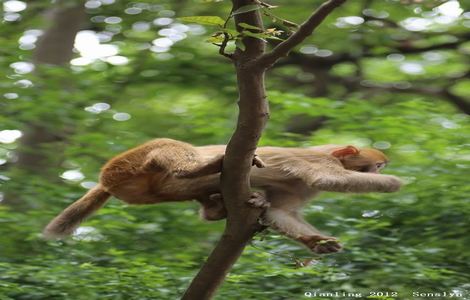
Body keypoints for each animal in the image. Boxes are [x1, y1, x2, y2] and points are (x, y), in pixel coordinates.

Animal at [46, 138, 402, 253]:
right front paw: (397, 182)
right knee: (176, 152)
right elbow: (327, 177)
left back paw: (217, 208)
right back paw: (212, 164)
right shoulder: (317, 163)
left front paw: (318, 242)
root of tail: (107, 178)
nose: (382, 170)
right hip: (137, 158)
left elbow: (282, 212)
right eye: (376, 166)